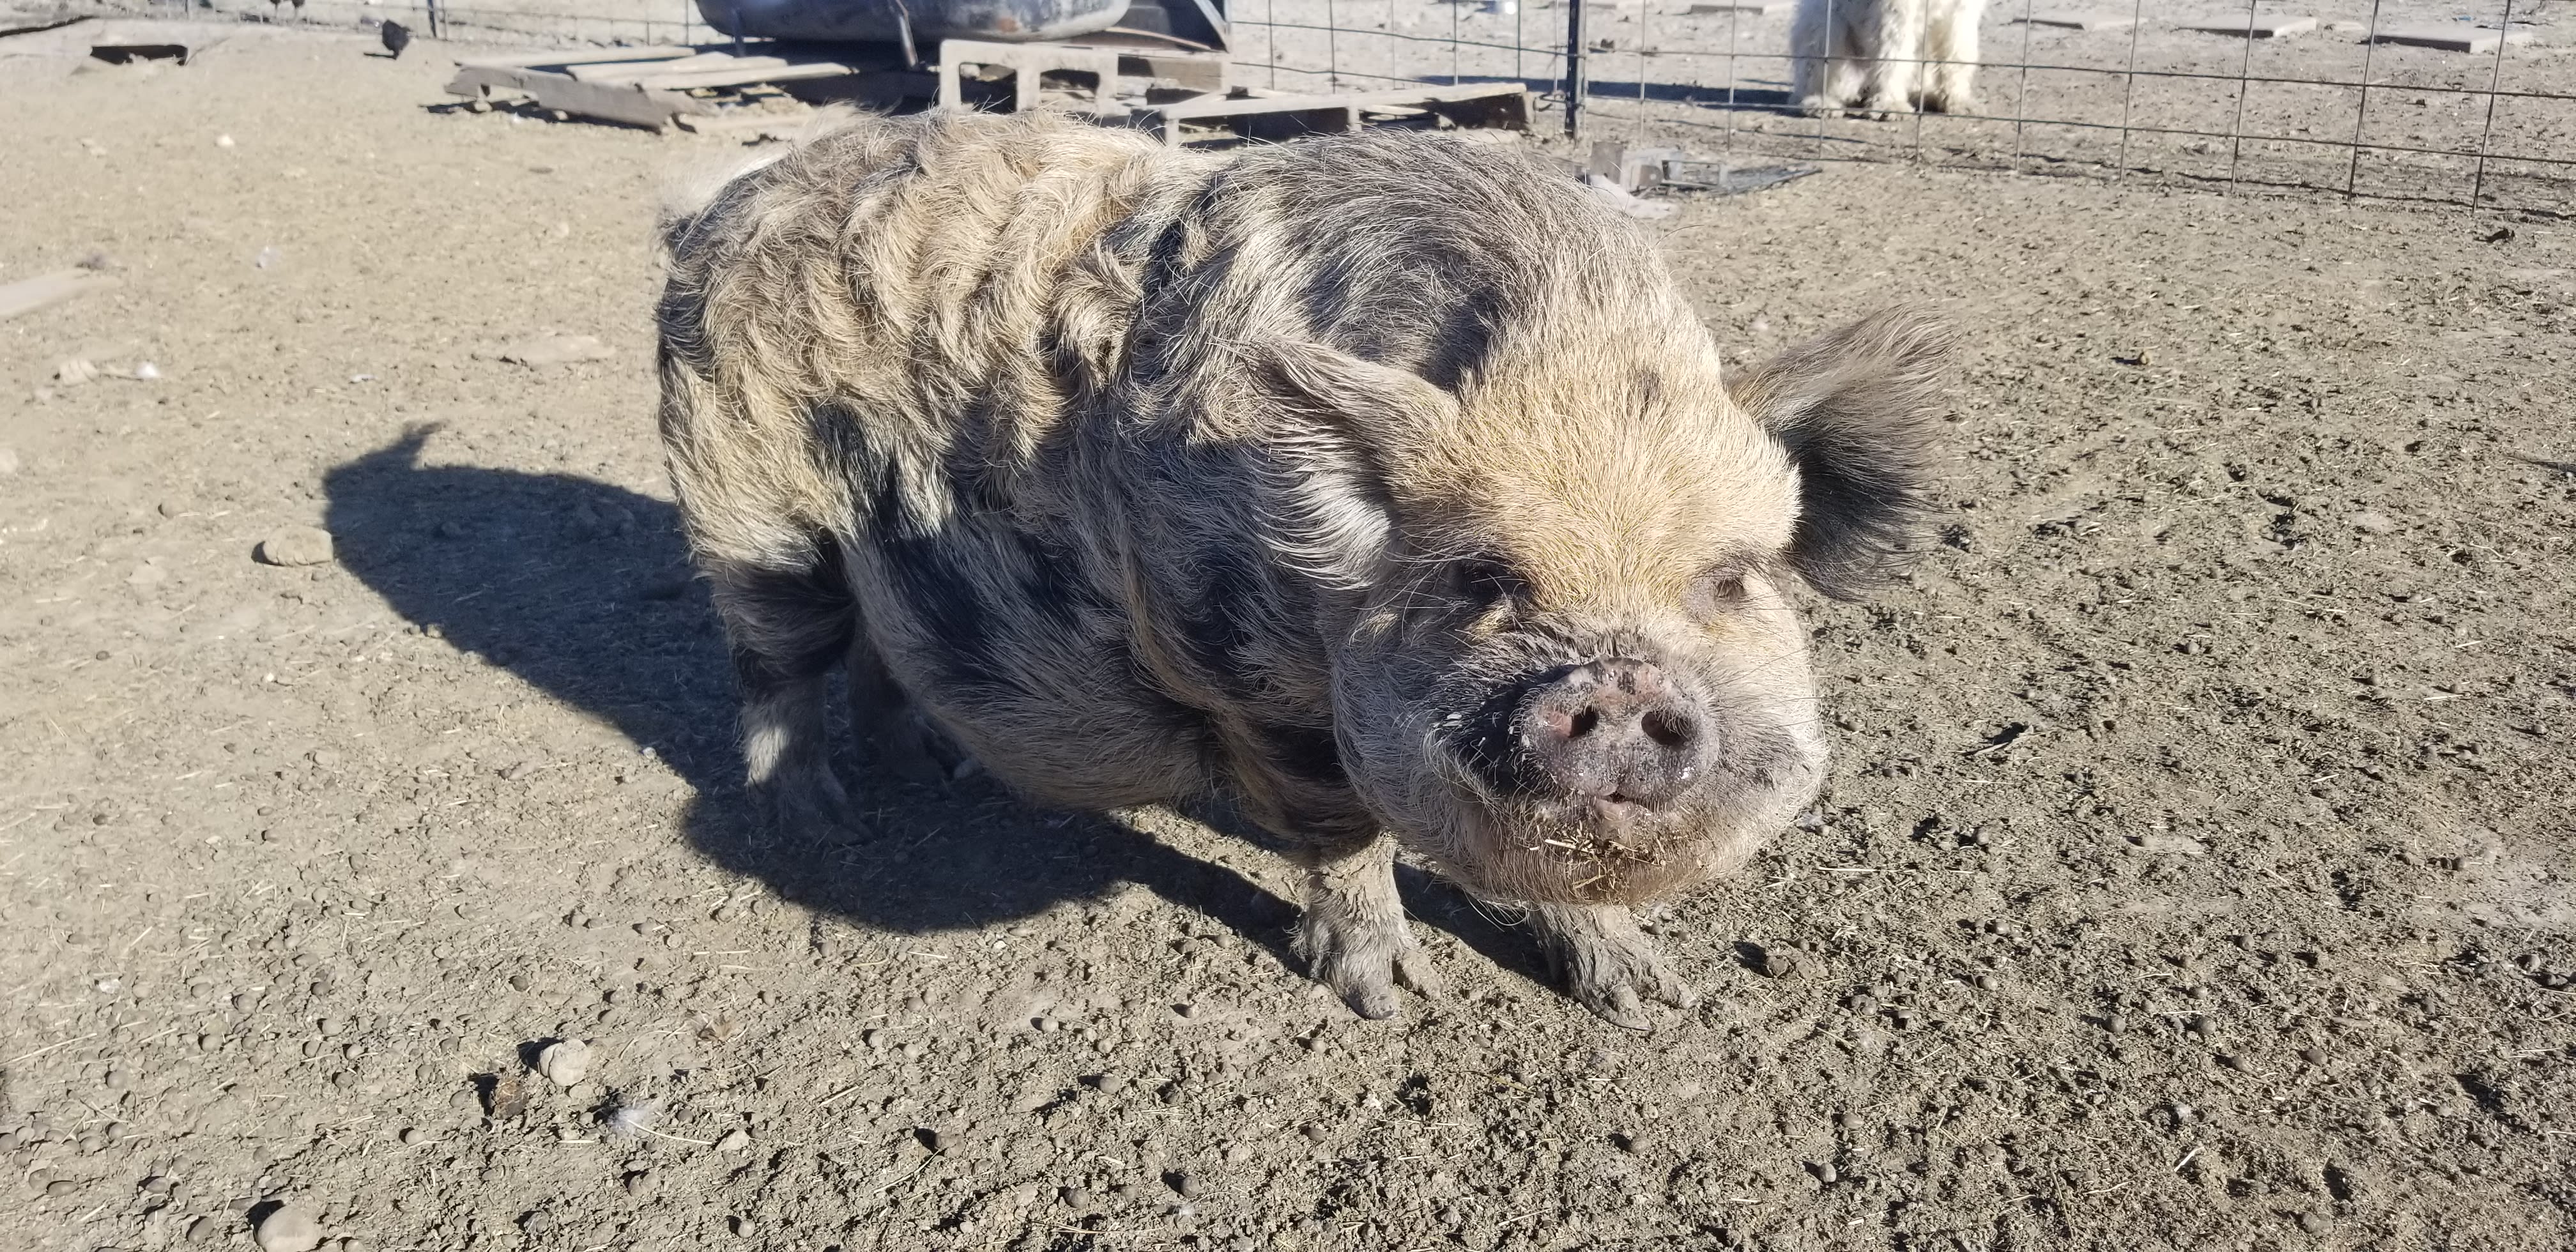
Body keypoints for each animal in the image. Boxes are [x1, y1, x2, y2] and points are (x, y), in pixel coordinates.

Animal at [654, 111, 1950, 1030]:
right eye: (1480, 579)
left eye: (1729, 580)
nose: (1621, 684)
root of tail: (726, 201)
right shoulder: (1242, 677)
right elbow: (1345, 839)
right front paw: (1388, 999)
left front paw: (1650, 1000)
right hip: (748, 504)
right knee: (775, 665)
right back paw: (815, 815)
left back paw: (935, 770)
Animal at [1791, 0, 1988, 119]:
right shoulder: (1895, 10)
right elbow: (1893, 54)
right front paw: (1890, 104)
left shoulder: (1960, 11)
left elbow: (1959, 54)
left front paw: (1959, 101)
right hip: (1825, 26)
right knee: (1811, 77)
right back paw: (1820, 102)